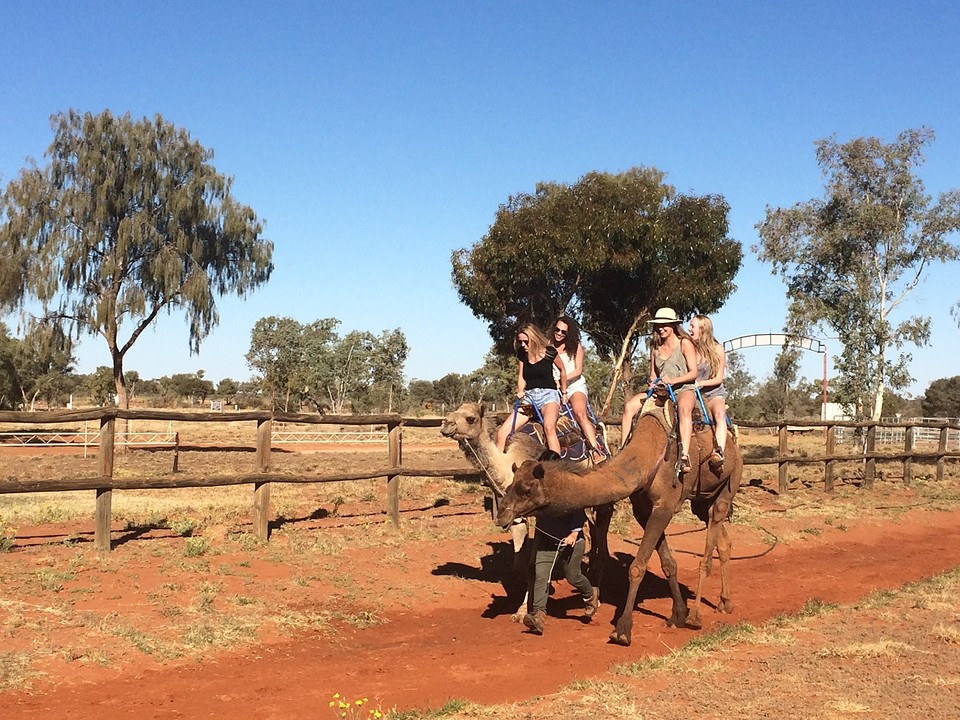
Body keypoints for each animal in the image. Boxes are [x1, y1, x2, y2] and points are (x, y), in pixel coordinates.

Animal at [496, 391, 742, 646]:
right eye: (512, 484)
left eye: (526, 489)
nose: (502, 513)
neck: (646, 455)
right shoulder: (643, 510)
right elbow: (668, 563)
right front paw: (677, 614)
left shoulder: (664, 506)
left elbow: (637, 567)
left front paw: (622, 630)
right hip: (701, 501)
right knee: (722, 540)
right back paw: (724, 603)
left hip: (730, 481)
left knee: (713, 534)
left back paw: (697, 615)